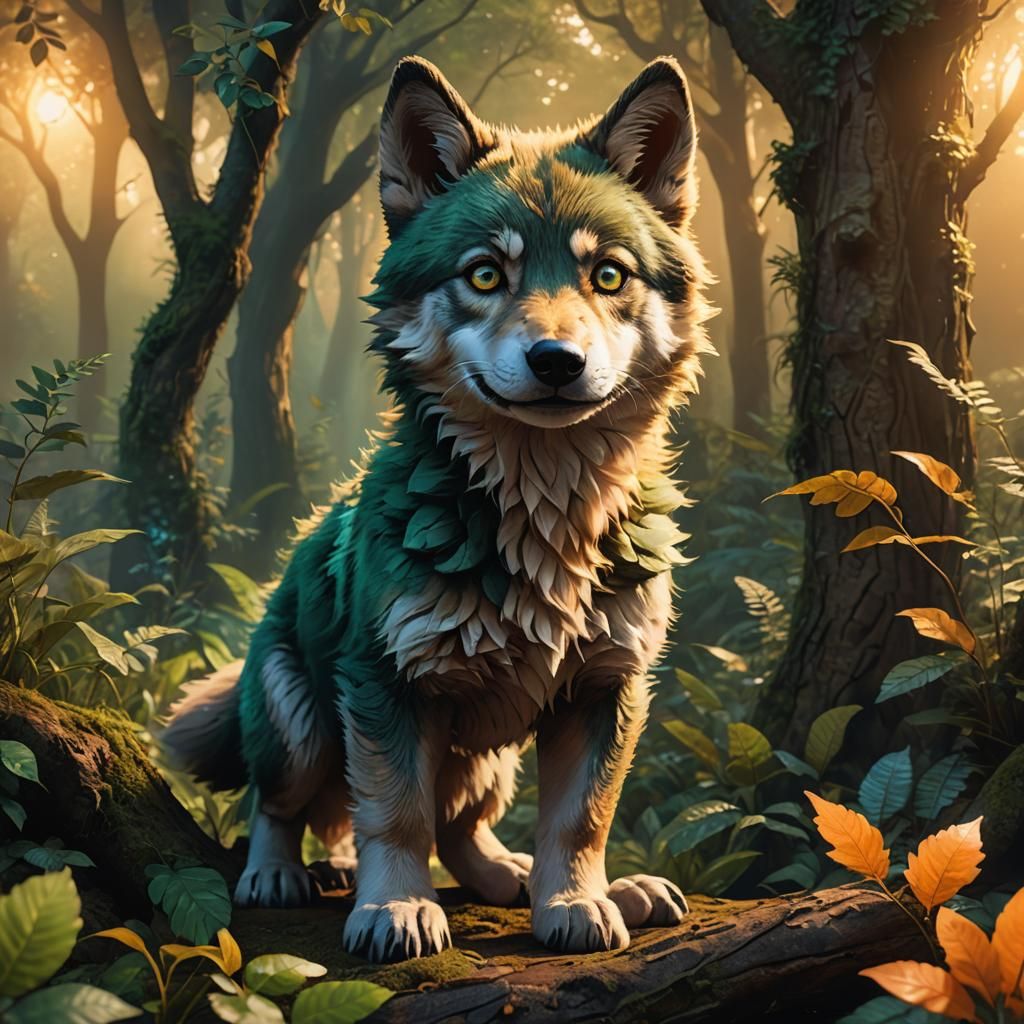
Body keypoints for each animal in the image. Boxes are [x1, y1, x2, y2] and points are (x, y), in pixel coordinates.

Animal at [164, 53, 712, 964]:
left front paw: (576, 901)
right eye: (485, 274)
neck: (544, 510)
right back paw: (278, 873)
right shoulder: (383, 684)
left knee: (463, 826)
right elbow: (394, 814)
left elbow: (581, 820)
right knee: (284, 805)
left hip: (490, 758)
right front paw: (395, 909)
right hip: (298, 717)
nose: (557, 360)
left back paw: (535, 880)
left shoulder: (609, 685)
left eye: (609, 275)